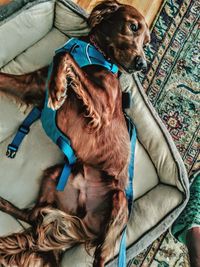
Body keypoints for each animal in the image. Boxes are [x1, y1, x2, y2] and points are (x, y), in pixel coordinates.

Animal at [0, 1, 150, 266]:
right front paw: (57, 87)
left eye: (148, 43)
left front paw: (58, 89)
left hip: (119, 208)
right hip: (54, 174)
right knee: (32, 216)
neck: (96, 52)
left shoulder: (102, 108)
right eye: (133, 27)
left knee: (101, 258)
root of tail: (81, 225)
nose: (142, 64)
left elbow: (65, 56)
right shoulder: (30, 86)